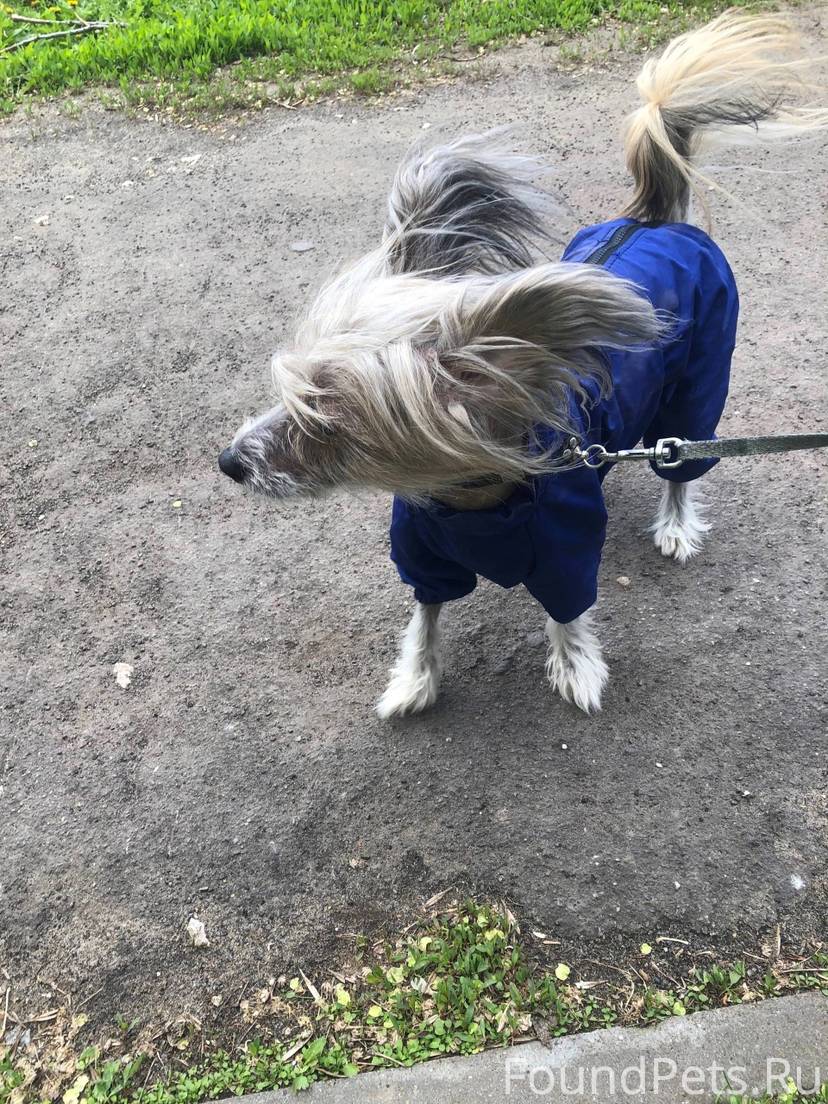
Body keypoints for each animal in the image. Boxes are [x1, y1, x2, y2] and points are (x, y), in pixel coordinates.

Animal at [218, 12, 825, 716]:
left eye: (325, 415)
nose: (228, 462)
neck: (468, 499)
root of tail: (655, 219)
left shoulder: (565, 550)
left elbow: (568, 613)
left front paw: (577, 667)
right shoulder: (424, 555)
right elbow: (424, 618)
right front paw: (413, 680)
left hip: (696, 391)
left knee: (681, 462)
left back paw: (676, 525)